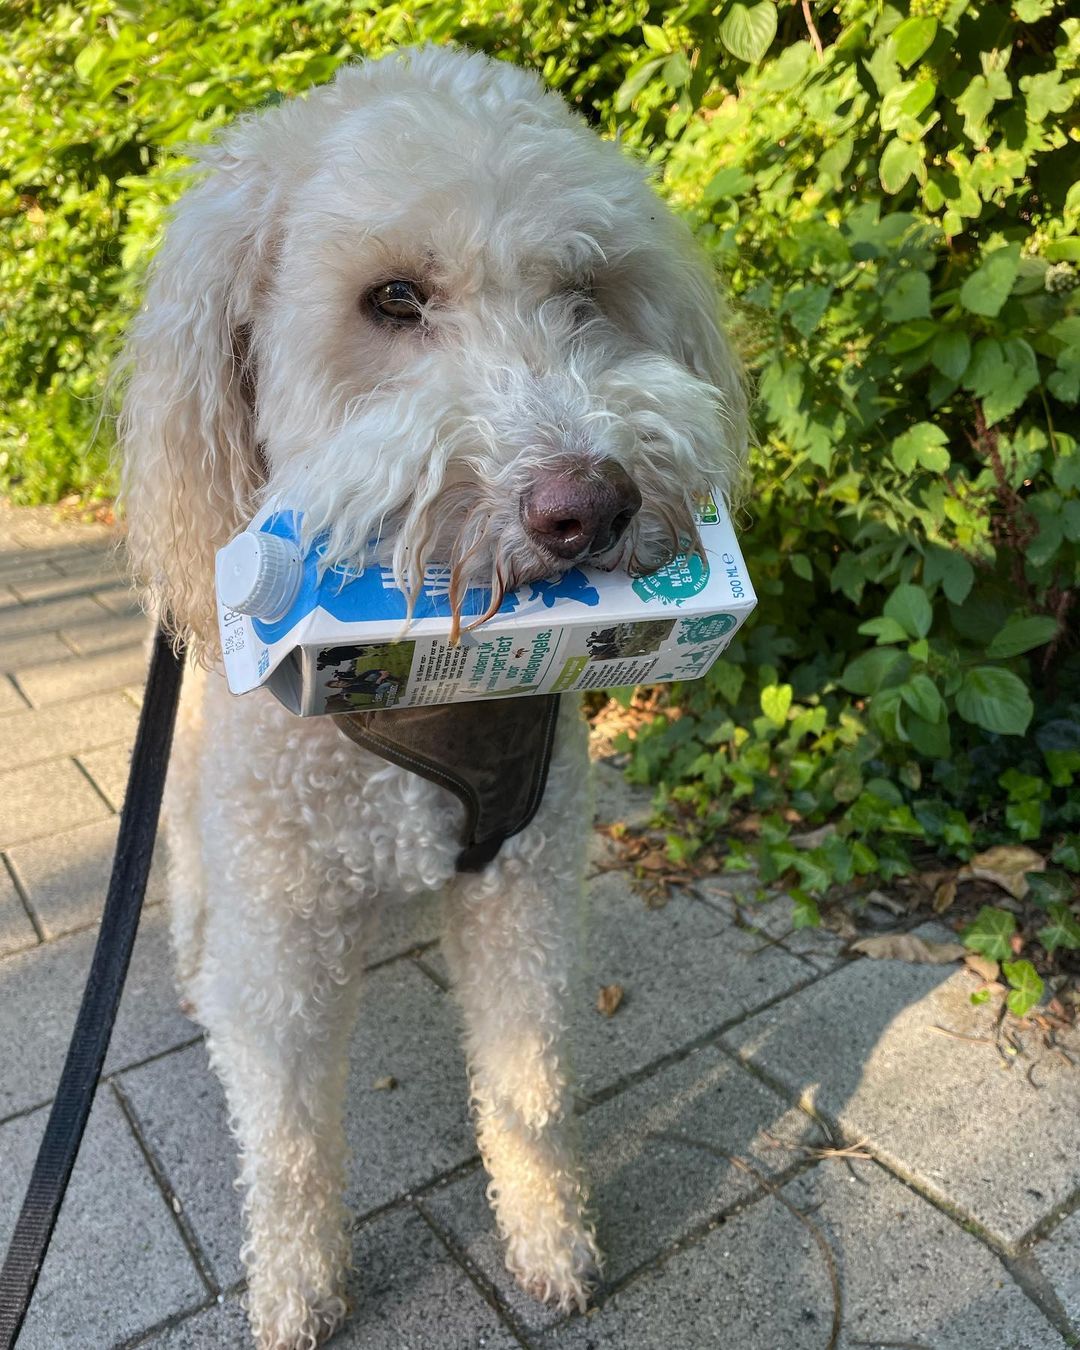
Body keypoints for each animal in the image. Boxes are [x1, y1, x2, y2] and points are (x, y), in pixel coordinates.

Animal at [118, 45, 746, 1350]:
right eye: (394, 299)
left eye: (586, 291)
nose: (587, 506)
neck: (420, 710)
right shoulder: (284, 932)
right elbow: (289, 1141)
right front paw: (296, 1286)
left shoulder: (526, 888)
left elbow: (530, 1088)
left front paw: (550, 1239)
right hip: (206, 821)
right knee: (196, 912)